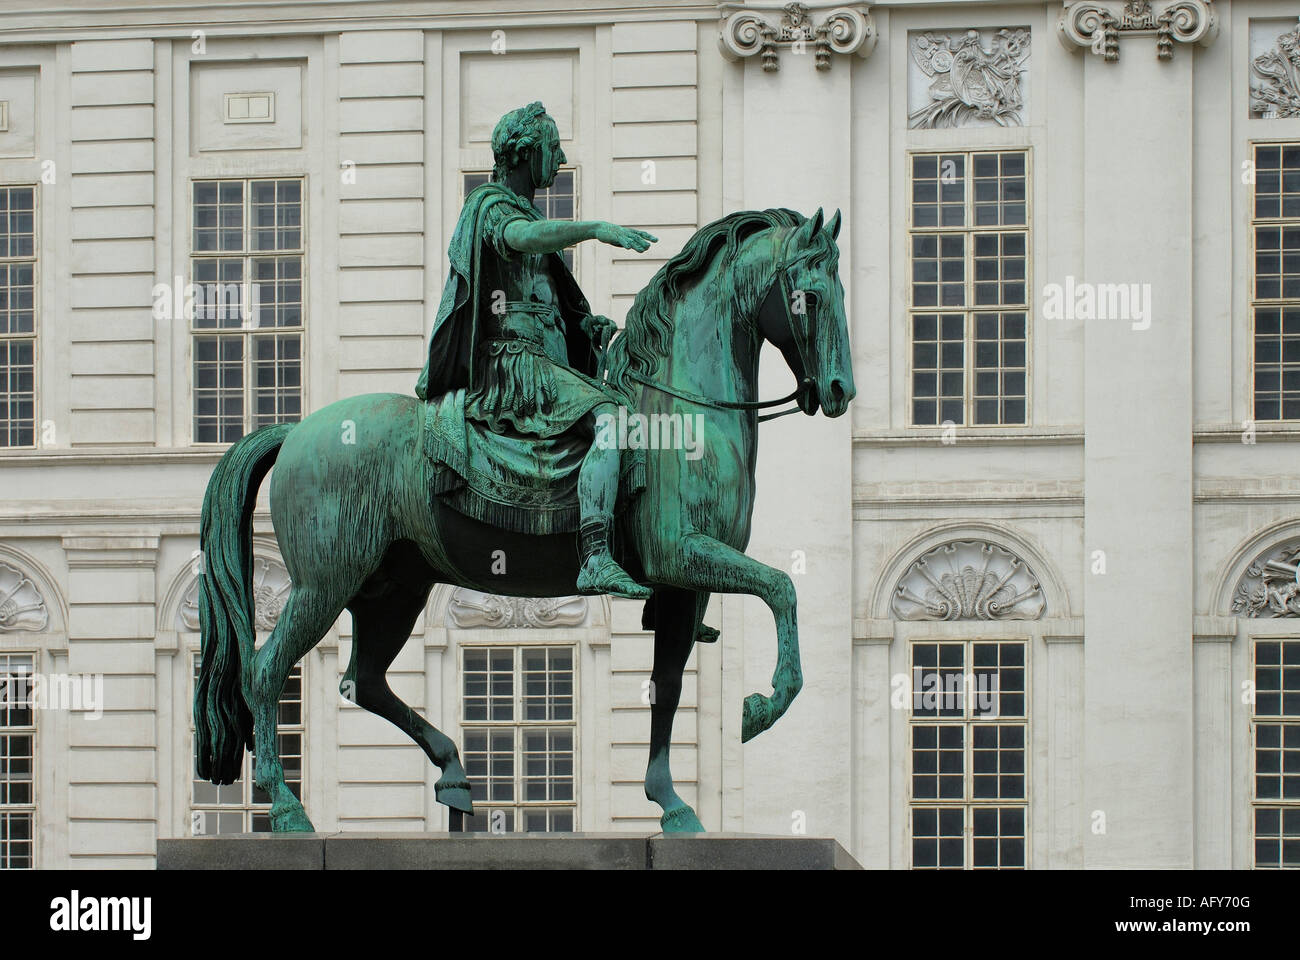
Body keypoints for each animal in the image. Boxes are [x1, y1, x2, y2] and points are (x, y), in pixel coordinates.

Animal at [195, 204, 852, 832]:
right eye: (811, 295)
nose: (841, 391)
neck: (678, 417)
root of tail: (295, 430)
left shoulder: (681, 589)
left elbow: (667, 689)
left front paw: (671, 802)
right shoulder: (681, 555)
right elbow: (782, 589)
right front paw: (759, 708)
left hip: (392, 589)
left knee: (365, 681)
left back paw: (454, 774)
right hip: (326, 582)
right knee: (266, 671)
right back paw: (286, 807)